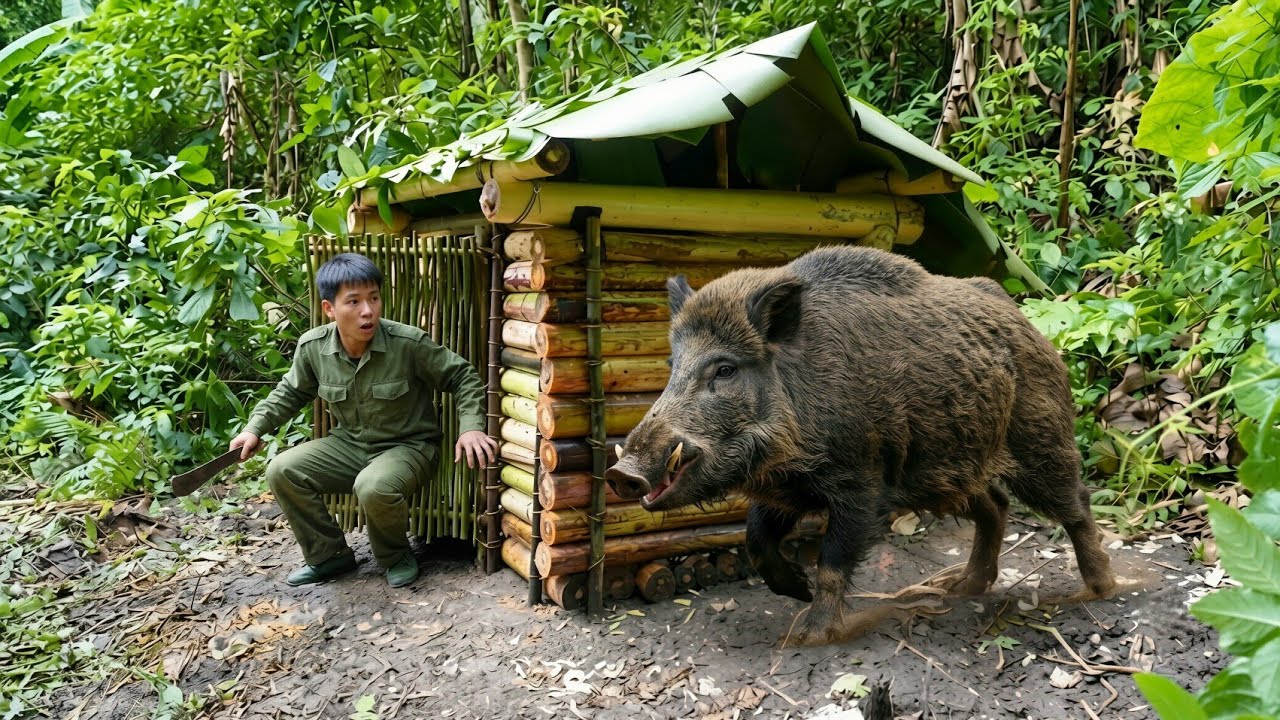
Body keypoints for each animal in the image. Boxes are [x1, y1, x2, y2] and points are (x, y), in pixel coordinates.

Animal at [605, 245, 1116, 645]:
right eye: (672, 366)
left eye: (725, 369)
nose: (621, 473)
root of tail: (1026, 321)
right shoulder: (785, 490)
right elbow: (755, 541)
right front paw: (798, 592)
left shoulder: (862, 481)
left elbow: (833, 560)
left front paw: (810, 635)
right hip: (949, 469)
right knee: (995, 504)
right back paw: (961, 588)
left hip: (1039, 439)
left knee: (1076, 504)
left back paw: (1100, 589)